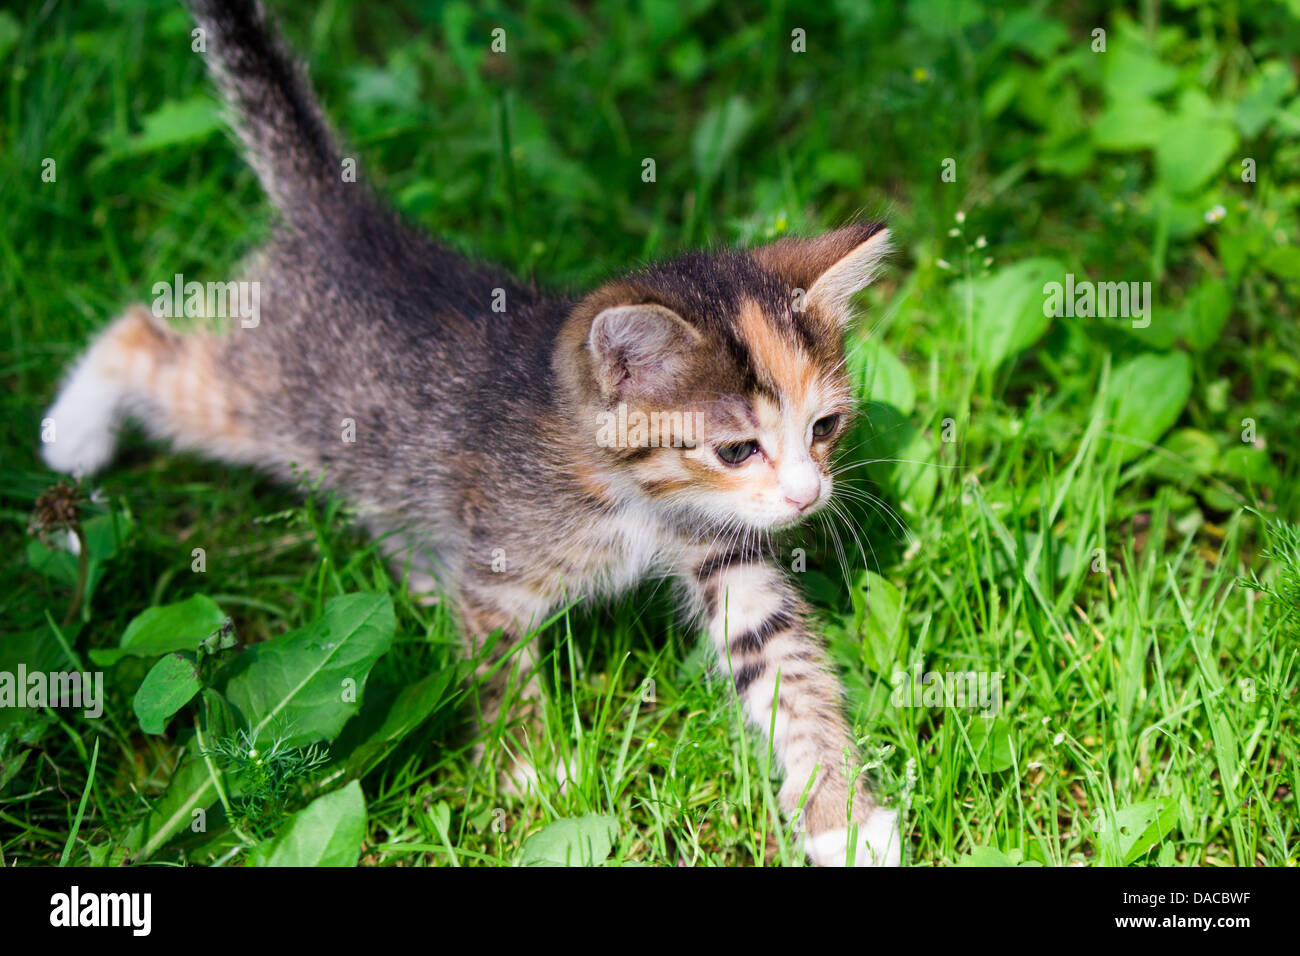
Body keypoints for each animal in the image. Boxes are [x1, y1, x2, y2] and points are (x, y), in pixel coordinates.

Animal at [38, 0, 894, 868]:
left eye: (825, 427)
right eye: (736, 450)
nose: (808, 496)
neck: (634, 498)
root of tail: (347, 213)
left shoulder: (725, 557)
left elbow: (784, 663)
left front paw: (844, 819)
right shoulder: (500, 575)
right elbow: (500, 667)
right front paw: (536, 774)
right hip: (262, 400)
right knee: (139, 336)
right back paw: (70, 438)